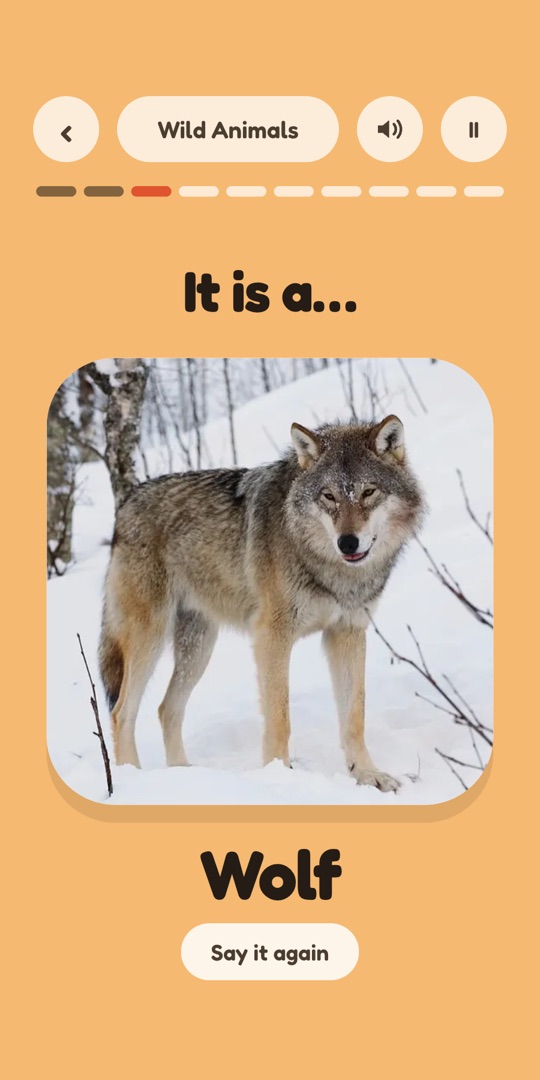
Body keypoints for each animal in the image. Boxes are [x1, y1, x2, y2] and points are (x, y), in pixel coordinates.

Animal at [99, 414, 425, 791]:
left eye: (368, 492)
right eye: (328, 496)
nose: (347, 542)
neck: (328, 568)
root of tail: (126, 503)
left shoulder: (347, 632)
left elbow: (354, 716)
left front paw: (368, 775)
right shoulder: (272, 636)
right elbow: (280, 717)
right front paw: (280, 777)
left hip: (198, 648)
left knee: (167, 709)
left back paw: (185, 775)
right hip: (149, 639)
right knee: (122, 712)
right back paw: (132, 780)